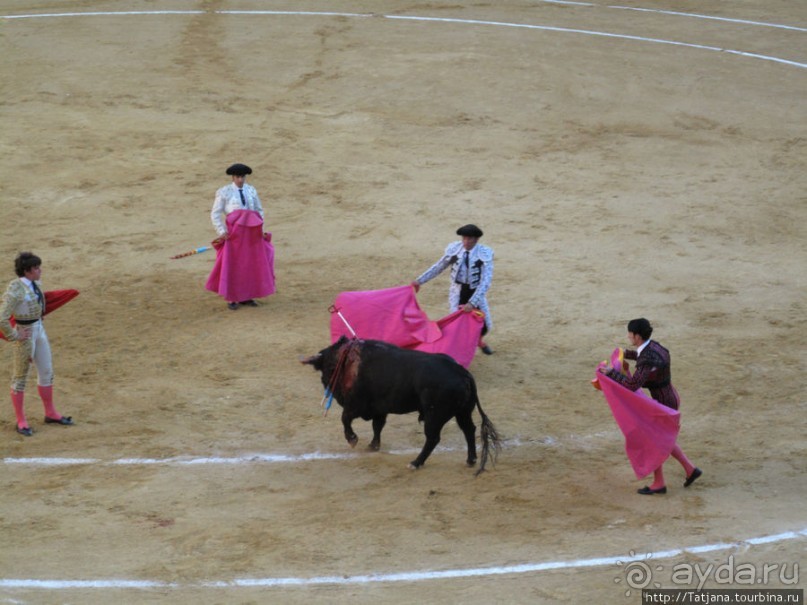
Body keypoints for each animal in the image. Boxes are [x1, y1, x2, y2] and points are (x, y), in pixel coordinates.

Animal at [304, 336, 502, 472]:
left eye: (329, 367)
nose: (327, 385)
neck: (348, 361)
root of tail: (462, 372)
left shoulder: (356, 406)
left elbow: (345, 418)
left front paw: (353, 439)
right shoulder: (379, 409)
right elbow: (378, 426)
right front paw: (373, 446)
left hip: (434, 415)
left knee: (433, 438)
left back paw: (415, 463)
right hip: (462, 411)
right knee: (469, 430)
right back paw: (470, 460)